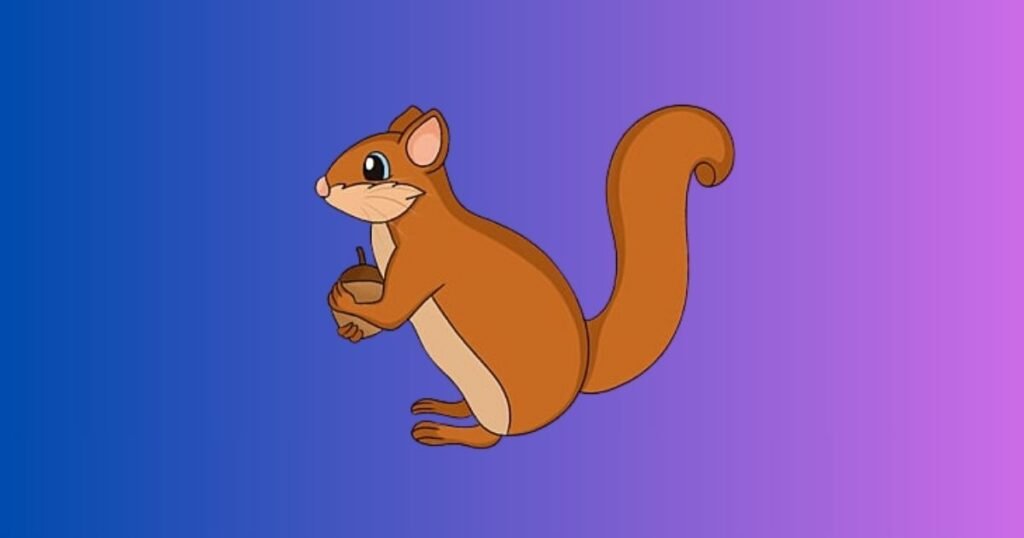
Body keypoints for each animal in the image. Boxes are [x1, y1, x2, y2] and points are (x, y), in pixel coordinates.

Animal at [315, 105, 734, 448]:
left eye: (374, 166)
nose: (321, 185)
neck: (405, 221)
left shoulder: (423, 264)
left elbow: (392, 311)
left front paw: (344, 300)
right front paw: (352, 325)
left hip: (501, 400)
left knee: (488, 438)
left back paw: (442, 432)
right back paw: (445, 406)